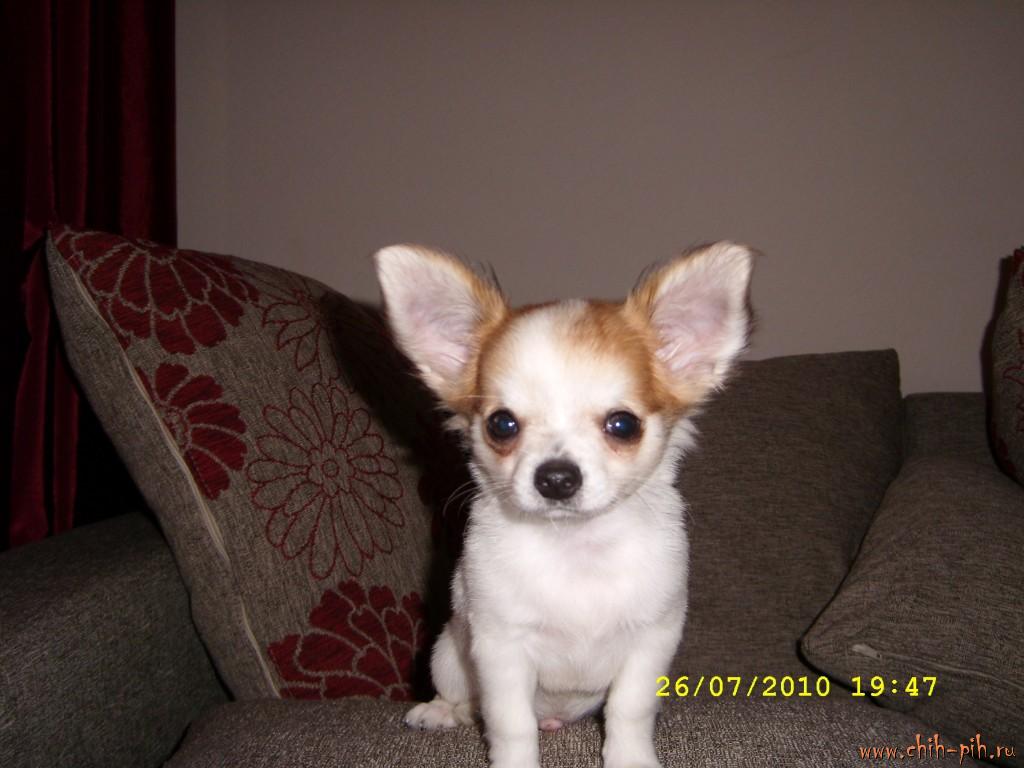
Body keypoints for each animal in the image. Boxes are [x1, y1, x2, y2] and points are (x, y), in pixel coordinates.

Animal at [375, 242, 753, 768]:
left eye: (622, 425)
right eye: (501, 425)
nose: (556, 478)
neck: (577, 547)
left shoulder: (652, 638)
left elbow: (630, 709)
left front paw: (630, 759)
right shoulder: (500, 646)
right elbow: (509, 723)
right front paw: (515, 764)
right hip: (447, 653)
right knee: (462, 696)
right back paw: (441, 712)